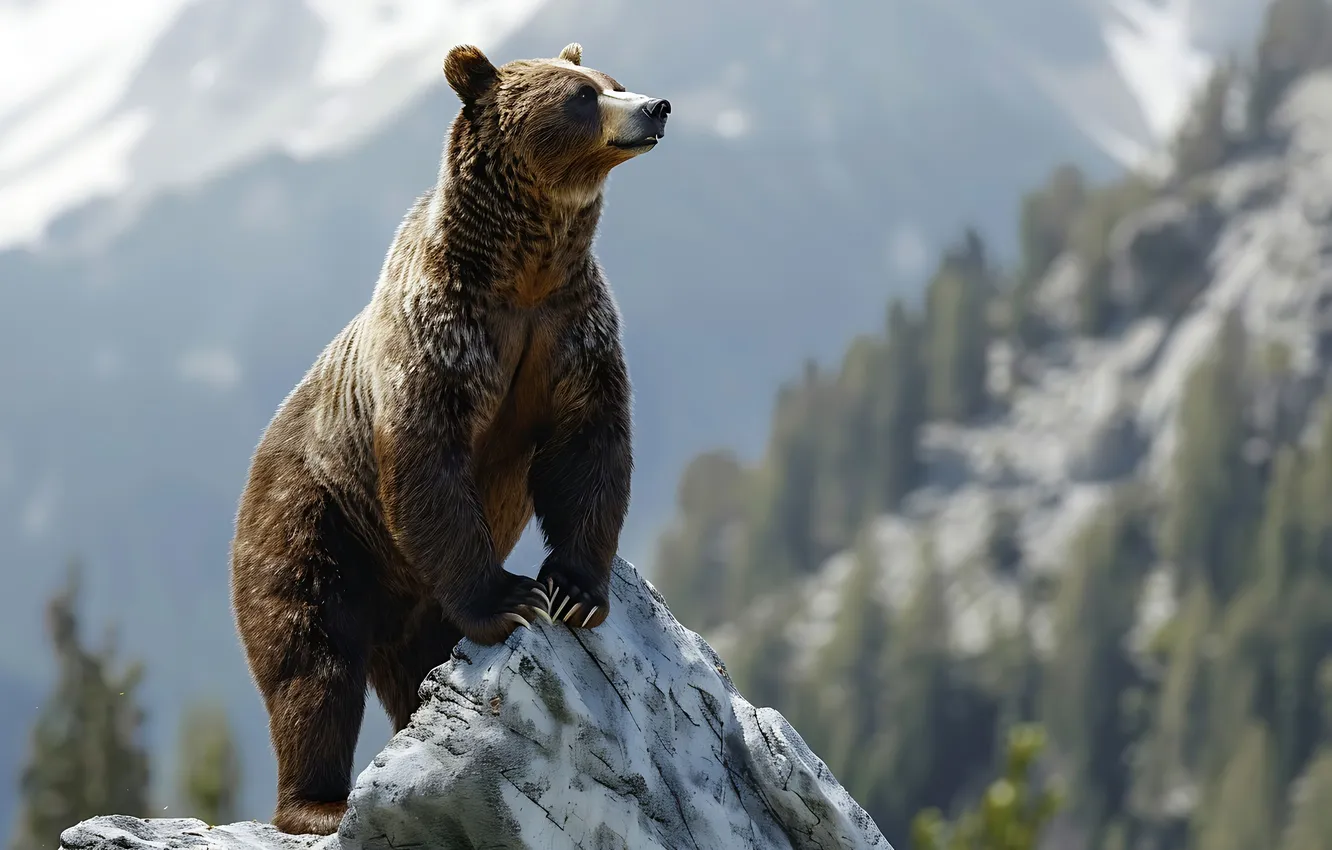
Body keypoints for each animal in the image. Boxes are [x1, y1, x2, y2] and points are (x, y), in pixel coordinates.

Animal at [228, 42, 669, 836]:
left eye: (612, 81)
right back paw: (317, 802)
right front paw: (512, 598)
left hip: (406, 601)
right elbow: (429, 461)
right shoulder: (442, 337)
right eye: (580, 96)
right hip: (314, 526)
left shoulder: (572, 330)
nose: (655, 107)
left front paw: (573, 591)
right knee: (313, 662)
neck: (521, 273)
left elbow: (589, 447)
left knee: (413, 663)